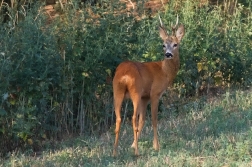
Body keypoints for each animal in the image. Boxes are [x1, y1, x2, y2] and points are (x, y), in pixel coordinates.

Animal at [112, 16, 185, 157]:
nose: (168, 54)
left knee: (118, 118)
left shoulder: (144, 97)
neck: (164, 71)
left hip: (117, 91)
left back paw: (114, 152)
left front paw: (132, 144)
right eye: (163, 45)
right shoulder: (154, 93)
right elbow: (154, 119)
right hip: (135, 91)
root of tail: (125, 75)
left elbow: (143, 120)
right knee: (133, 118)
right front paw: (156, 146)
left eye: (175, 44)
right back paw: (136, 152)